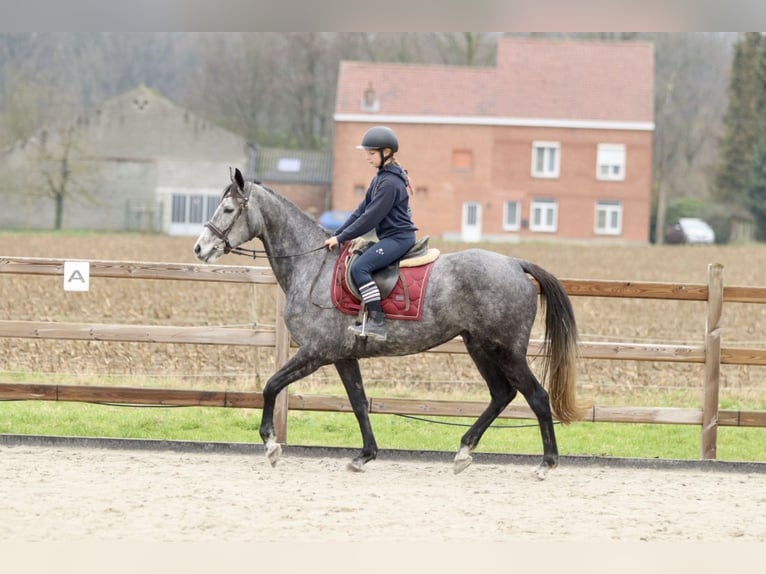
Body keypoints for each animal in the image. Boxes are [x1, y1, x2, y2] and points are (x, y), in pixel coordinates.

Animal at [195, 170, 584, 482]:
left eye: (228, 210)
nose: (200, 248)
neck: (311, 267)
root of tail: (515, 264)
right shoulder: (343, 356)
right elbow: (358, 403)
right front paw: (364, 456)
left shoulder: (316, 352)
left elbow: (272, 386)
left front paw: (272, 445)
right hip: (479, 346)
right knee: (502, 394)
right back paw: (463, 452)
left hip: (506, 350)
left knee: (536, 396)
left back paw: (546, 463)